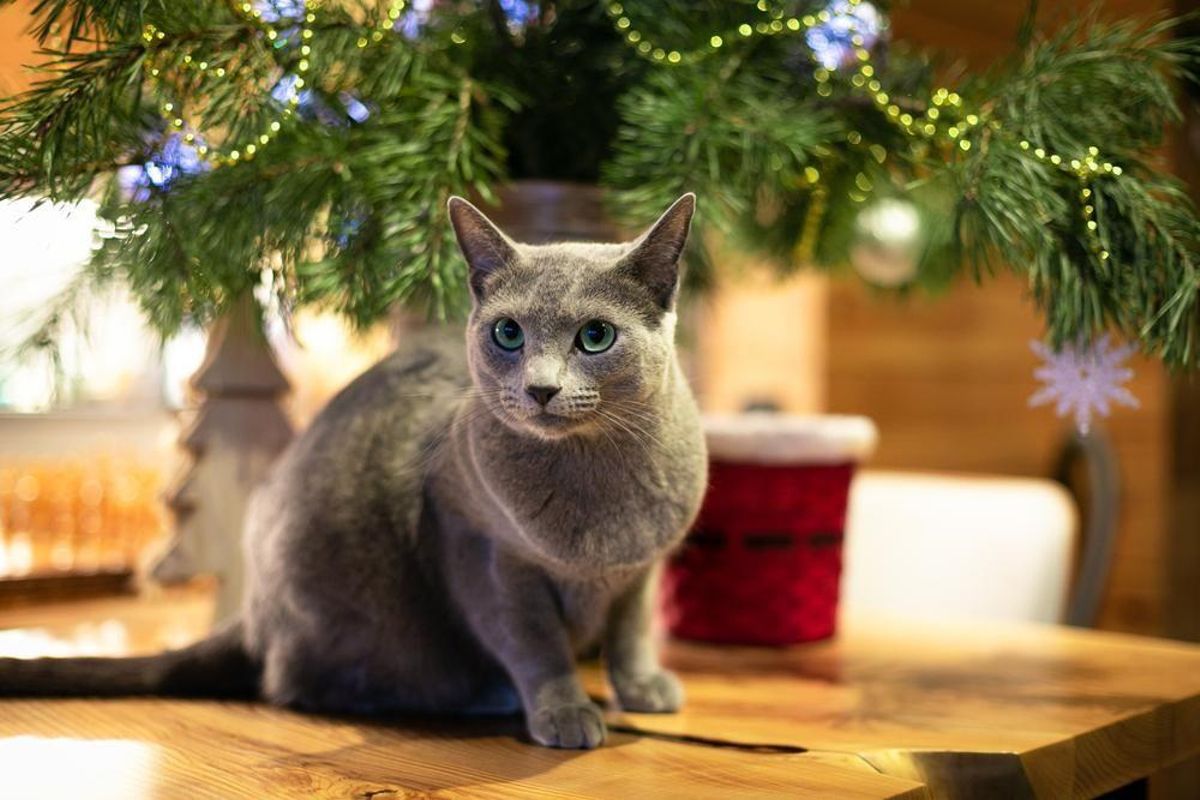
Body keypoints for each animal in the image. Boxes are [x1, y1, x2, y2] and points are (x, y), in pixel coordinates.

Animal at [0, 191, 710, 753]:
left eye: (596, 337)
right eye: (508, 334)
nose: (539, 389)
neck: (598, 502)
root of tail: (254, 617)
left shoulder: (643, 566)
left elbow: (631, 630)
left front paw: (642, 688)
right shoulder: (481, 553)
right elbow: (534, 644)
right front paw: (565, 710)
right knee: (301, 684)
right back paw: (485, 694)